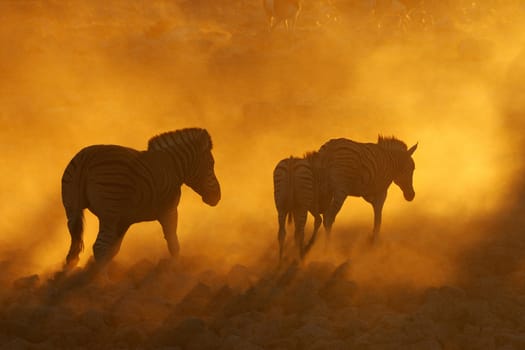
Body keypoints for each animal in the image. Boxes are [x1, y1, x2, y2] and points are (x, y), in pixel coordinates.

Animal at [62, 128, 221, 268]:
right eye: (211, 164)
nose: (218, 197)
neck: (173, 167)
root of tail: (87, 158)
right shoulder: (169, 211)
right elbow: (173, 244)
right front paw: (174, 270)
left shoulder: (124, 220)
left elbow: (114, 250)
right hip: (109, 214)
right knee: (100, 247)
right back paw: (101, 282)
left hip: (71, 209)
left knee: (74, 250)